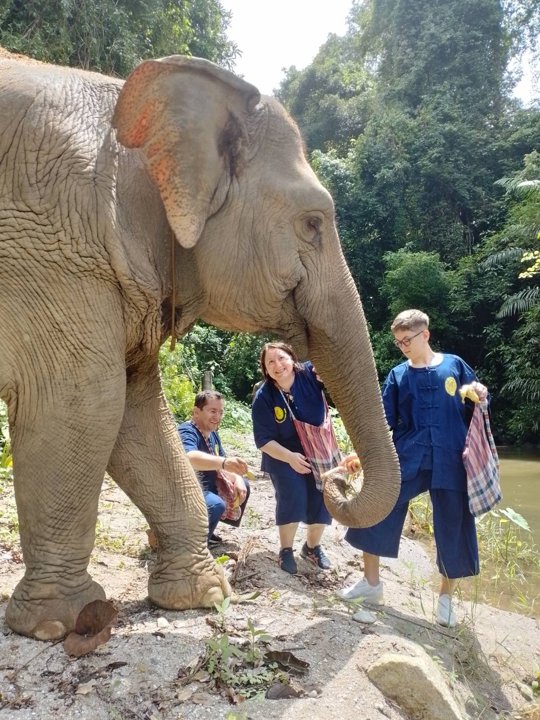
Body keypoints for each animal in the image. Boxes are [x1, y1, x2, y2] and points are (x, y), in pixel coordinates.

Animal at [0, 51, 400, 640]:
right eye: (312, 222)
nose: (333, 482)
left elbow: (136, 412)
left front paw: (204, 594)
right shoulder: (57, 252)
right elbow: (83, 405)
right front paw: (58, 624)